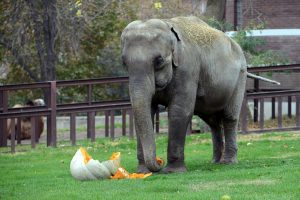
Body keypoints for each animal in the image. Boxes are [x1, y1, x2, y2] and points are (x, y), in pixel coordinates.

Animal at [121, 16, 278, 173]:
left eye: (159, 61)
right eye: (124, 63)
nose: (159, 162)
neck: (169, 26)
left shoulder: (188, 69)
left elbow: (179, 111)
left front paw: (172, 171)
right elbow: (147, 111)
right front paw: (142, 172)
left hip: (240, 77)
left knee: (229, 117)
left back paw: (227, 162)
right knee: (213, 121)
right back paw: (215, 161)